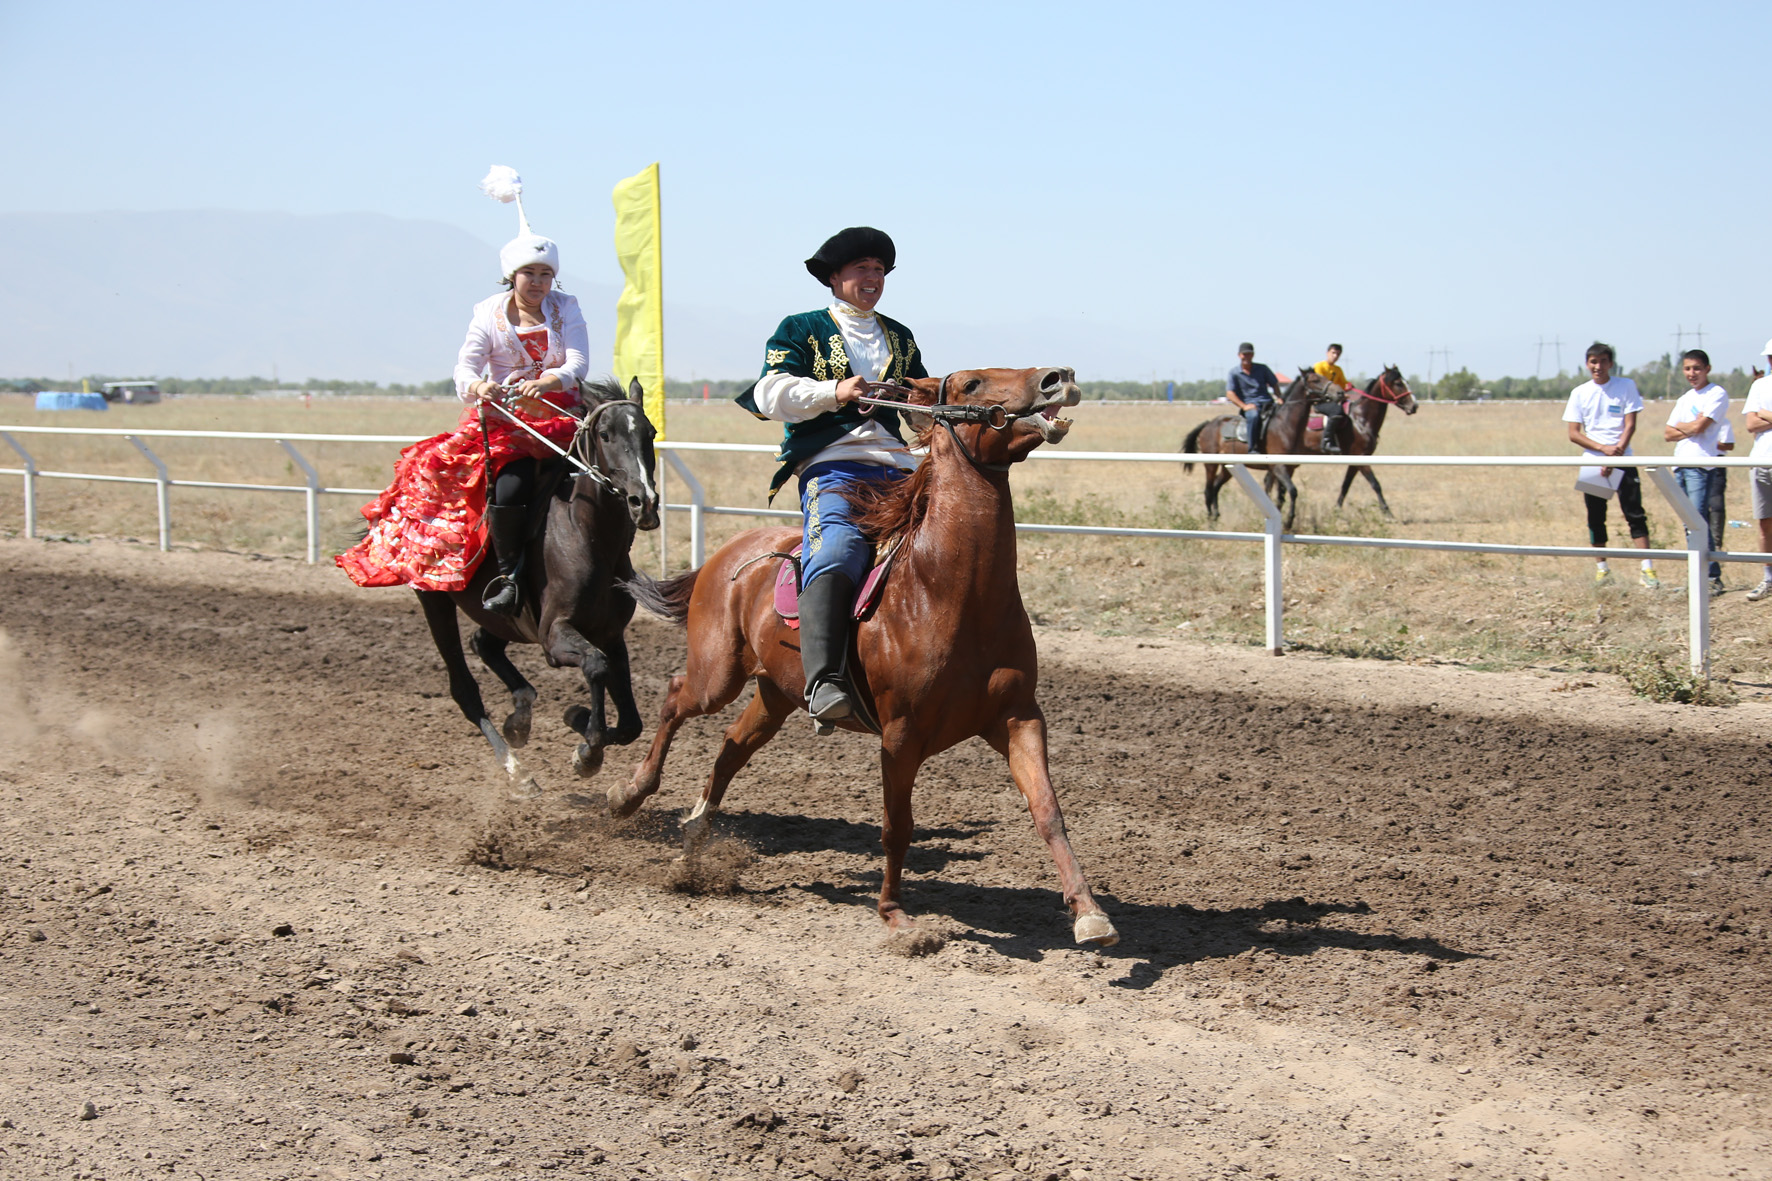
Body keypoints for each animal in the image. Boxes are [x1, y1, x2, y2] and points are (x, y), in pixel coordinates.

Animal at [418, 374, 662, 790]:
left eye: (651, 432)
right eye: (605, 434)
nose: (643, 502)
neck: (588, 536)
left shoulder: (611, 634)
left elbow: (631, 723)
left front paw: (581, 729)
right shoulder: (554, 634)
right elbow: (595, 666)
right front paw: (587, 746)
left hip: (504, 617)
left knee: (483, 643)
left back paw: (519, 716)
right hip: (434, 598)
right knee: (463, 688)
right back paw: (515, 770)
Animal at [623, 368, 1112, 950]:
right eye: (972, 383)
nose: (1058, 378)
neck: (947, 592)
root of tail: (730, 551)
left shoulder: (1017, 717)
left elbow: (1048, 811)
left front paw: (1089, 912)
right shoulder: (900, 736)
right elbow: (896, 826)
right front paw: (895, 916)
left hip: (775, 693)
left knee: (733, 745)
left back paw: (695, 833)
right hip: (716, 676)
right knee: (677, 696)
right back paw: (628, 792)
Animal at [1183, 368, 1332, 524]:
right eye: (1315, 380)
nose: (1338, 392)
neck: (1285, 425)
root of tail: (1208, 424)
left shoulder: (1289, 469)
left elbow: (1281, 495)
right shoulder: (1278, 467)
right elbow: (1292, 491)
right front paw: (1289, 521)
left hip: (1227, 467)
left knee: (1216, 486)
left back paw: (1216, 515)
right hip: (1211, 464)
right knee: (1208, 490)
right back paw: (1210, 520)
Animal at [1304, 365, 1424, 517]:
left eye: (1406, 381)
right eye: (1398, 383)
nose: (1414, 406)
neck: (1360, 420)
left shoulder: (1355, 461)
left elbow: (1345, 485)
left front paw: (1336, 510)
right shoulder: (1361, 459)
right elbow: (1376, 484)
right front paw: (1387, 512)